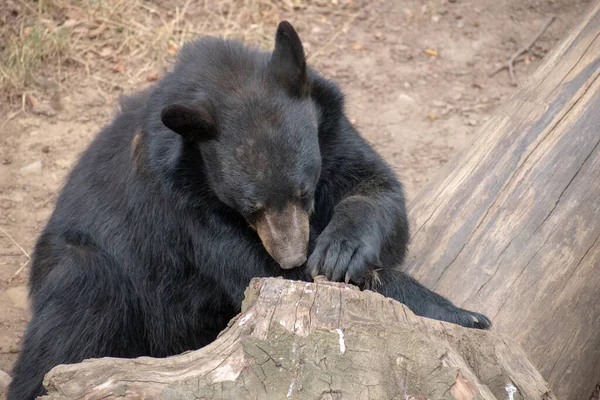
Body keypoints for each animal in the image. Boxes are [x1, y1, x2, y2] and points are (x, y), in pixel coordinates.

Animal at [7, 21, 490, 400]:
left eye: (304, 191)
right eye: (248, 206)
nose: (294, 254)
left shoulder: (331, 127)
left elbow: (375, 187)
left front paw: (341, 251)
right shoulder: (184, 205)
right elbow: (257, 271)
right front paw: (464, 314)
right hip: (91, 269)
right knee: (79, 312)